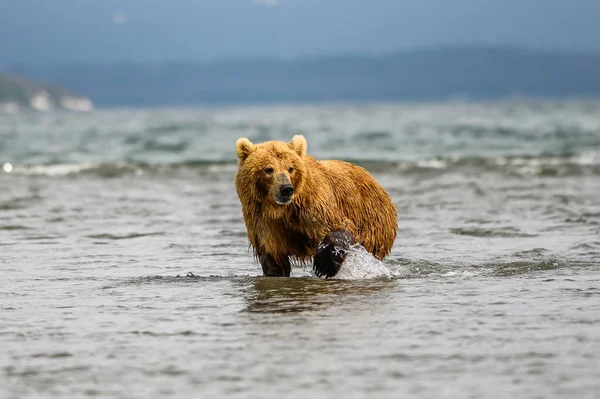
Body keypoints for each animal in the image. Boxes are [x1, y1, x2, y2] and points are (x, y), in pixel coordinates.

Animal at [234, 134, 398, 278]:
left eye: (290, 168)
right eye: (269, 169)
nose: (286, 189)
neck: (280, 210)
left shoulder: (313, 206)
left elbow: (339, 225)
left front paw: (324, 264)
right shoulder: (262, 221)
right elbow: (272, 256)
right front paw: (274, 272)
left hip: (373, 224)